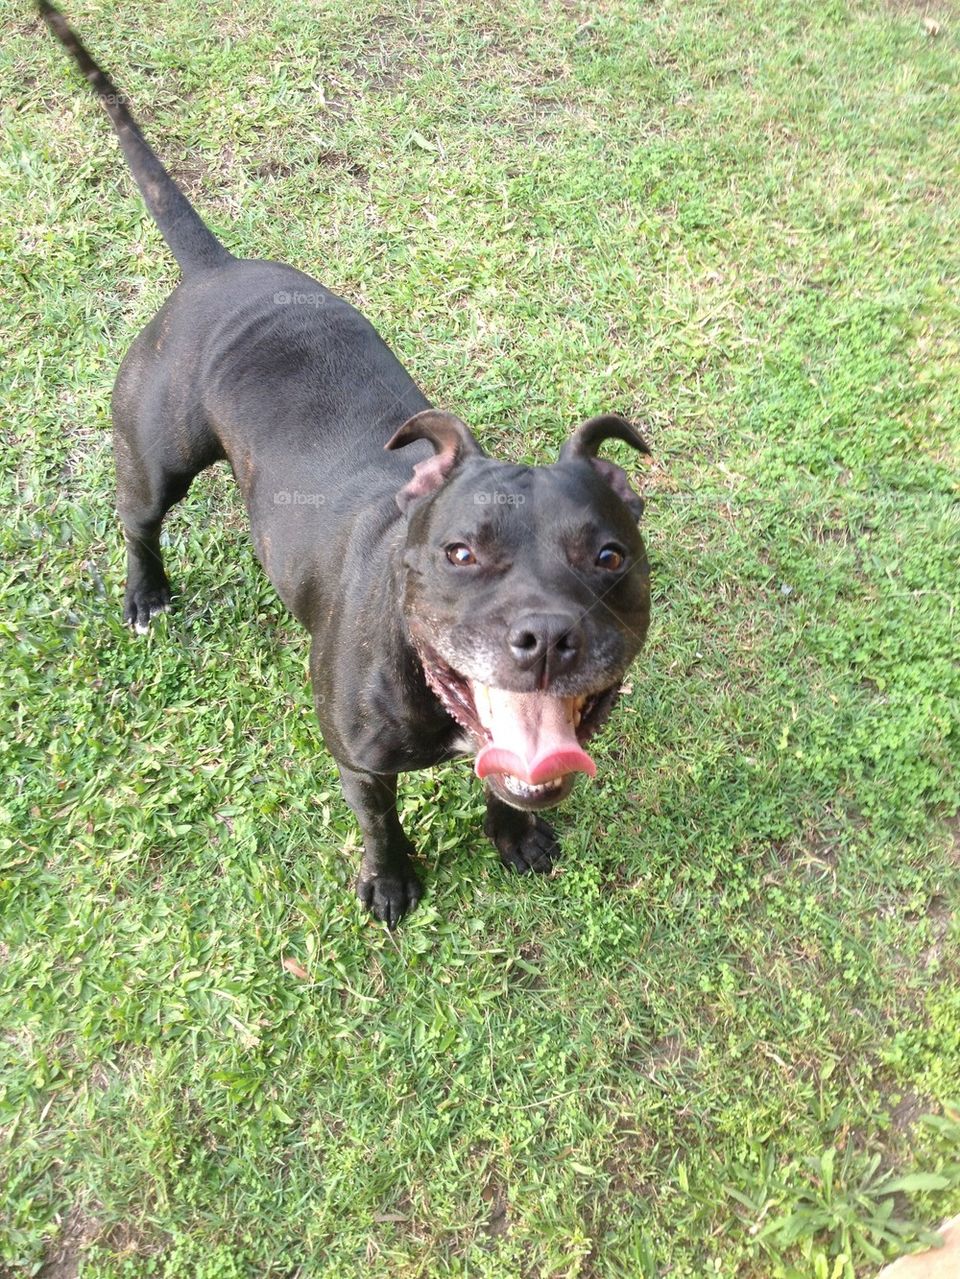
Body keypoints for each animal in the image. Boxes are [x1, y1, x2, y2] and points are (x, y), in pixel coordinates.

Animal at [37, 0, 654, 920]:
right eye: (459, 552)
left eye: (610, 556)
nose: (545, 635)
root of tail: (215, 268)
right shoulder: (359, 761)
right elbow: (379, 822)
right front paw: (391, 881)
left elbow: (499, 783)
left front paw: (511, 835)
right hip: (155, 458)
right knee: (139, 521)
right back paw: (146, 595)